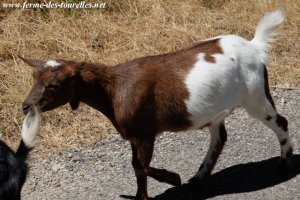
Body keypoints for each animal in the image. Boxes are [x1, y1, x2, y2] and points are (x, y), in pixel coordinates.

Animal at [19, 8, 292, 200]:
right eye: (33, 79)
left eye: (53, 85)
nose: (25, 107)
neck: (114, 89)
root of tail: (254, 45)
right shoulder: (134, 135)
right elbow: (137, 165)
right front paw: (167, 182)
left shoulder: (144, 133)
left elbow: (140, 166)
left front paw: (160, 186)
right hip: (217, 110)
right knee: (219, 137)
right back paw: (198, 177)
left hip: (255, 94)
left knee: (280, 121)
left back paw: (284, 162)